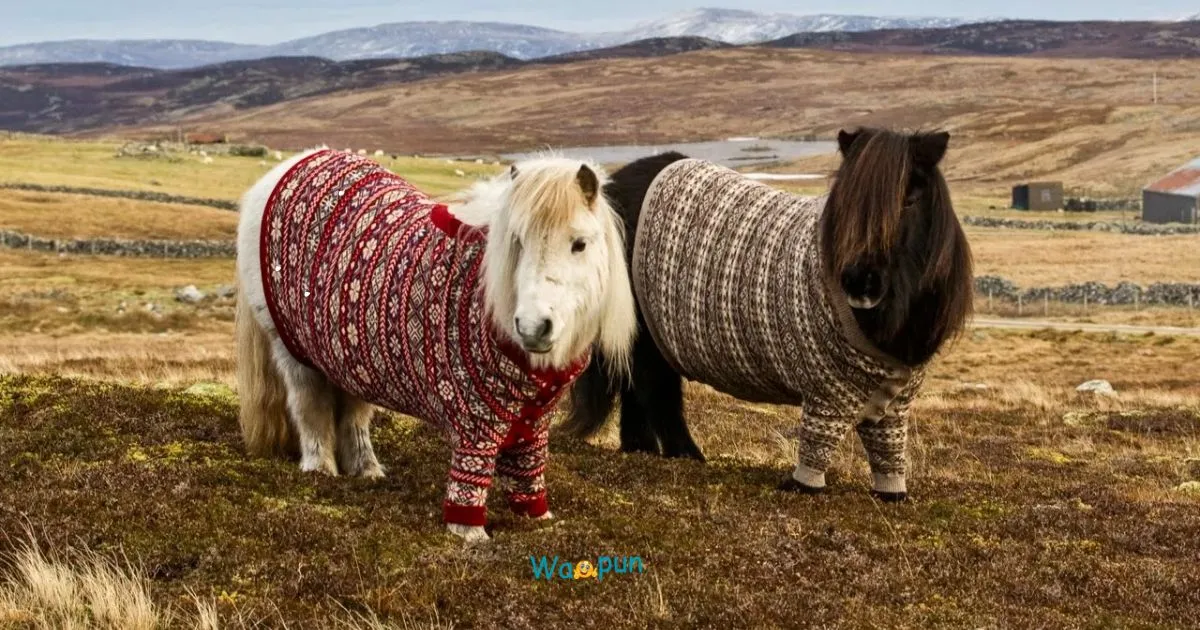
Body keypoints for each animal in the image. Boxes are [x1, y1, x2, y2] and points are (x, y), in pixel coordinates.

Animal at [235, 149, 637, 542]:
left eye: (579, 244)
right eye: (518, 241)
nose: (533, 327)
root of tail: (288, 167)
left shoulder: (533, 426)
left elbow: (528, 476)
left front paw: (538, 520)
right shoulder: (475, 423)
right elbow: (470, 483)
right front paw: (470, 534)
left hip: (350, 357)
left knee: (353, 414)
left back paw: (366, 469)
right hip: (294, 353)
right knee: (310, 407)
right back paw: (320, 469)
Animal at [564, 128, 973, 501]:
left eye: (911, 199)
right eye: (846, 202)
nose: (859, 282)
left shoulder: (893, 405)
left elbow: (888, 450)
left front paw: (892, 493)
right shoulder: (825, 393)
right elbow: (816, 445)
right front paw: (802, 486)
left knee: (637, 387)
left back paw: (641, 449)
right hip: (648, 336)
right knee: (655, 392)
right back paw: (686, 454)